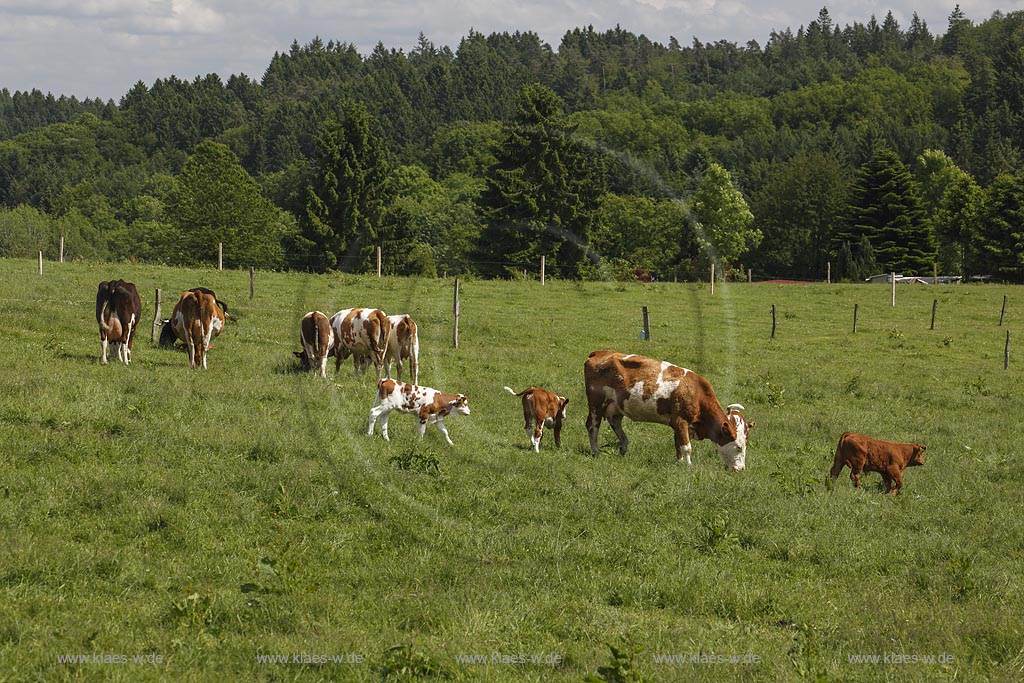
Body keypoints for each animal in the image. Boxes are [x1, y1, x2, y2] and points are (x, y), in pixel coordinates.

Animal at [585, 352, 753, 471]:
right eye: (739, 447)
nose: (741, 469)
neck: (696, 393)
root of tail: (599, 353)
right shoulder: (680, 421)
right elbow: (686, 447)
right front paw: (688, 466)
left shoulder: (679, 424)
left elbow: (678, 444)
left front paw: (679, 462)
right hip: (596, 404)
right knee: (592, 426)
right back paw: (596, 452)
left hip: (615, 407)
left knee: (615, 424)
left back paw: (624, 448)